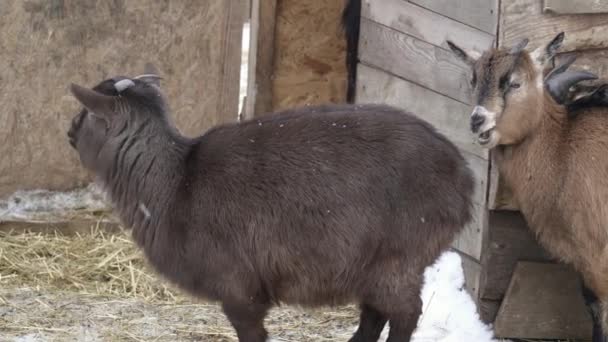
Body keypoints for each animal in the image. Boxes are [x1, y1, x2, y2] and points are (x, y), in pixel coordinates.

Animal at [66, 65, 476, 340]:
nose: (69, 131)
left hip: (400, 255)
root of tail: (464, 177)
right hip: (373, 264)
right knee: (374, 314)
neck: (173, 184)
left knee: (405, 314)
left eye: (85, 113)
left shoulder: (240, 289)